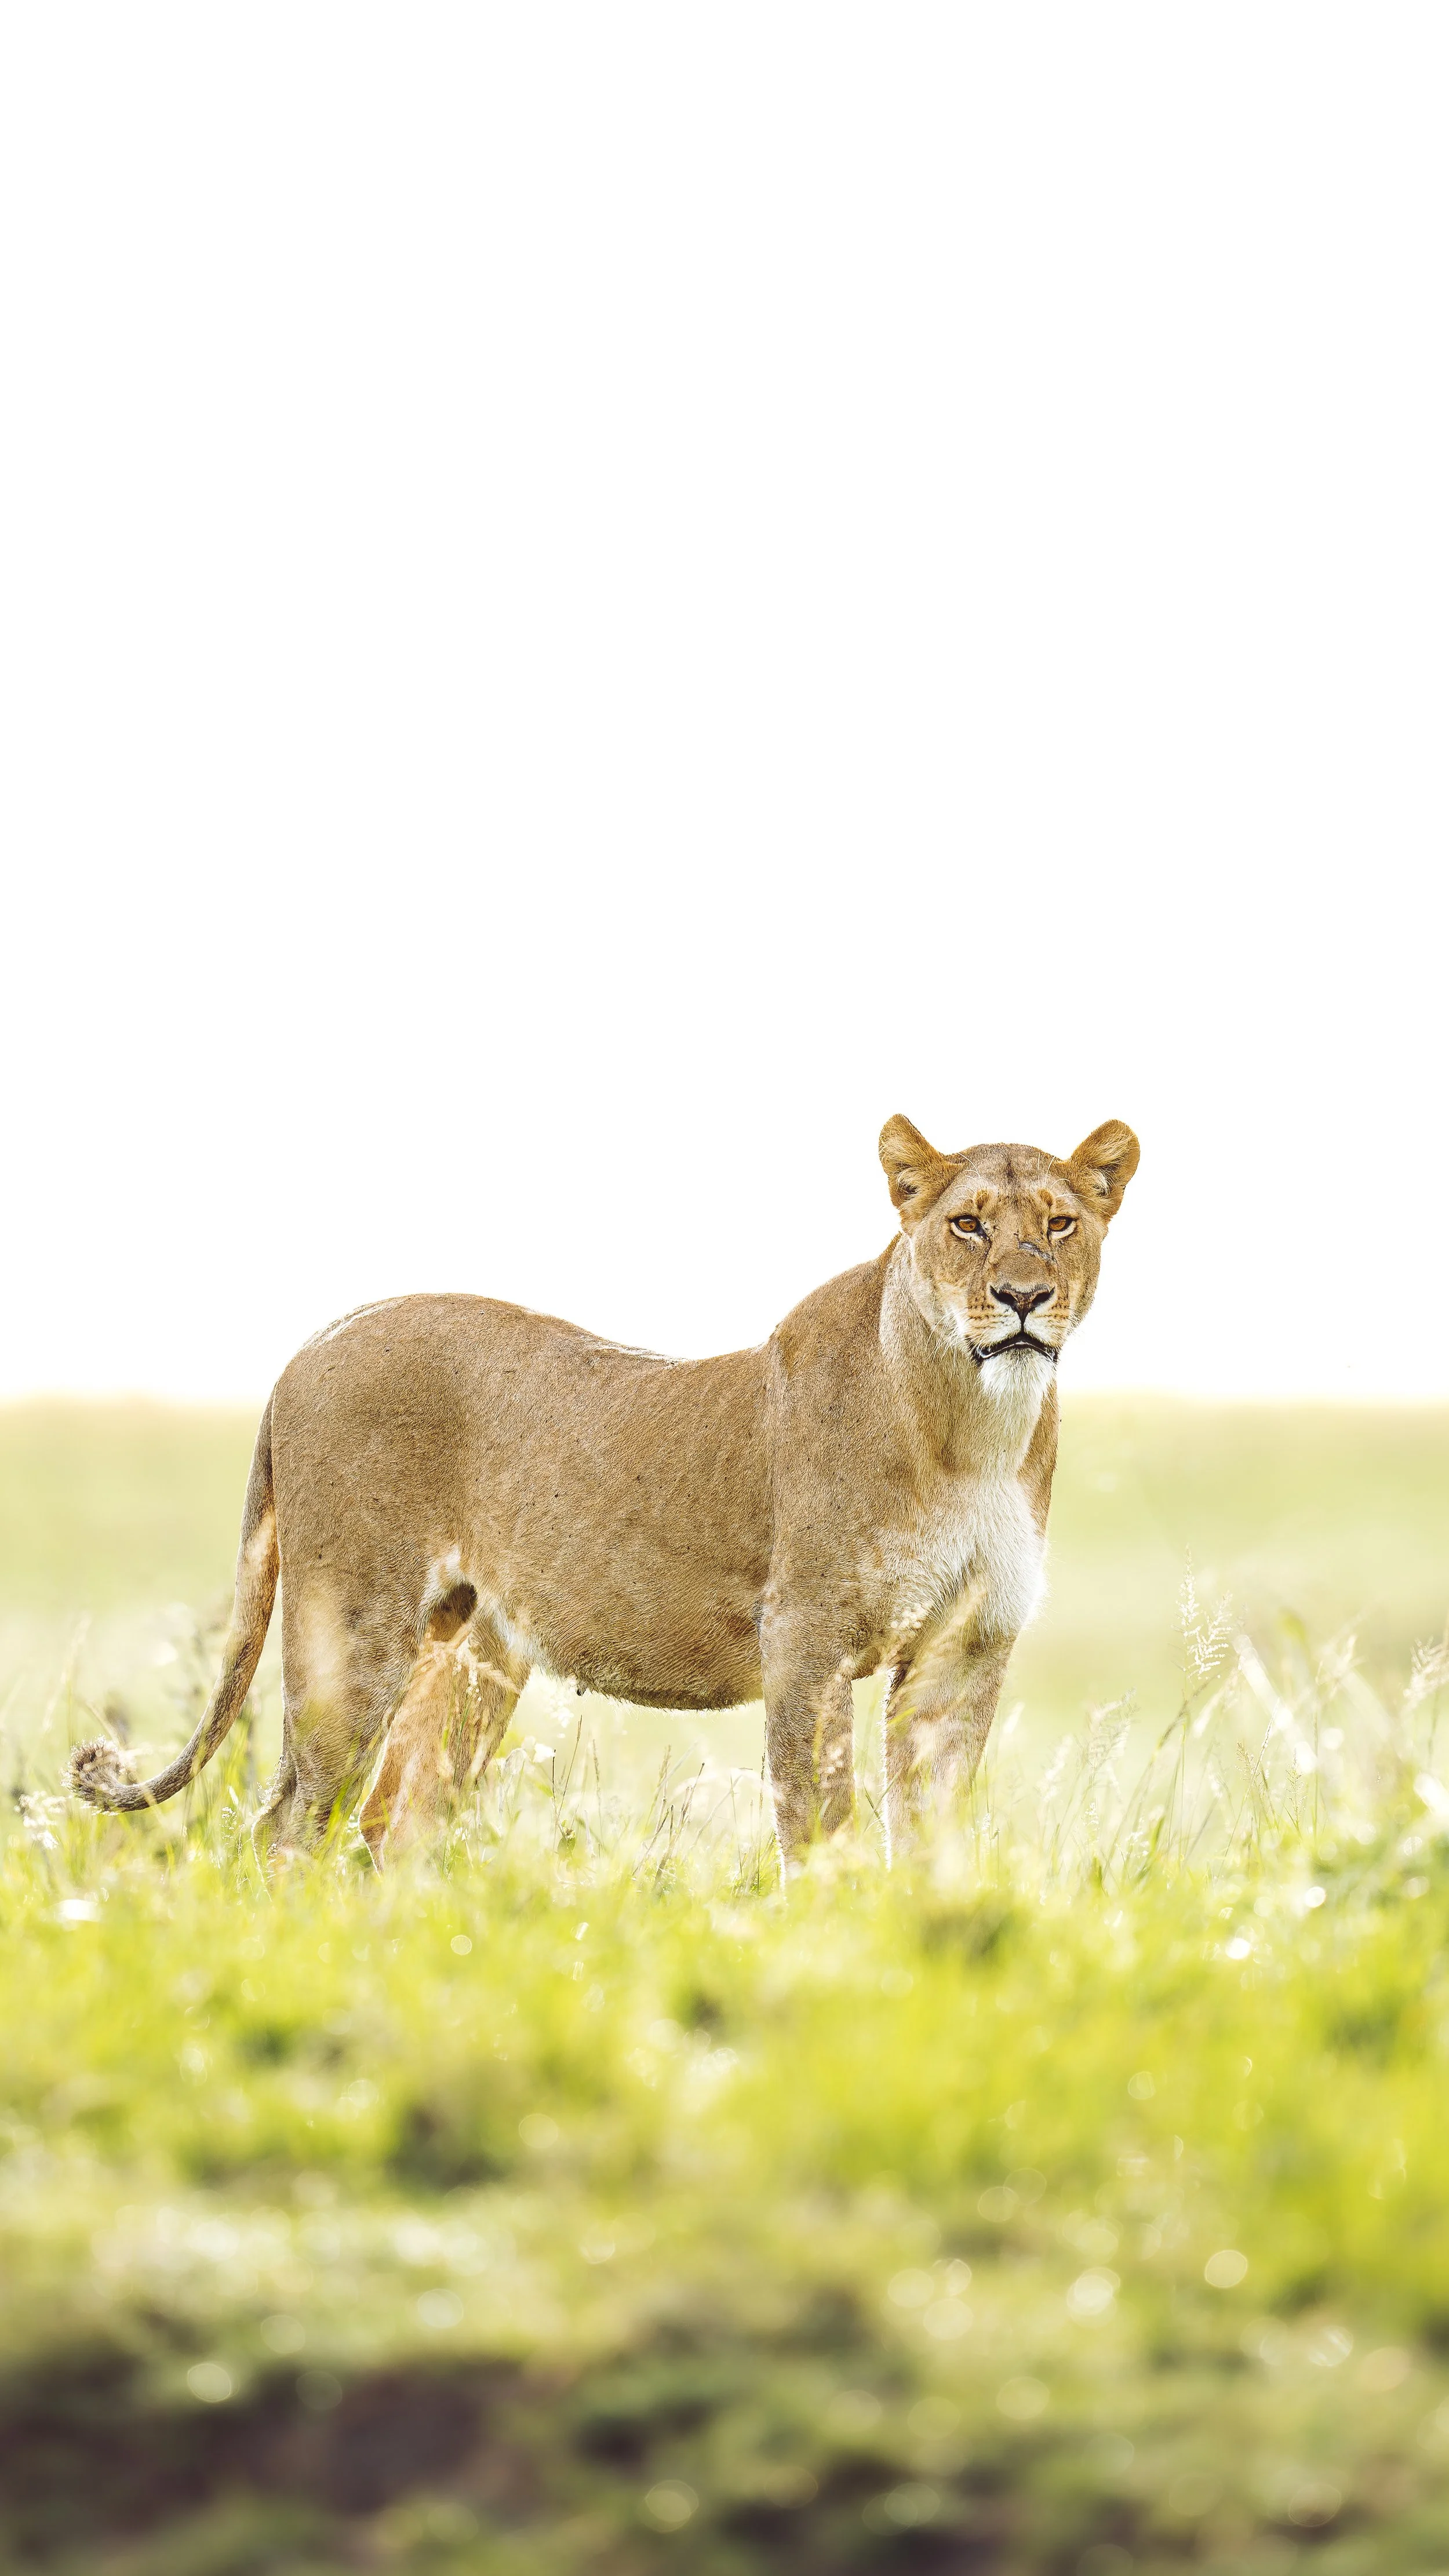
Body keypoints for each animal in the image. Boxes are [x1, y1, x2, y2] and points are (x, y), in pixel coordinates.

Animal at [71, 1115, 1138, 1865]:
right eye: (967, 1224)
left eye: (1060, 1224)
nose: (1024, 1297)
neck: (974, 1431)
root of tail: (319, 1337)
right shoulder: (807, 1634)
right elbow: (819, 1824)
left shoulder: (964, 1647)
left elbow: (930, 1832)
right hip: (354, 1629)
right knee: (292, 1818)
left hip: (470, 1655)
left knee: (389, 1825)